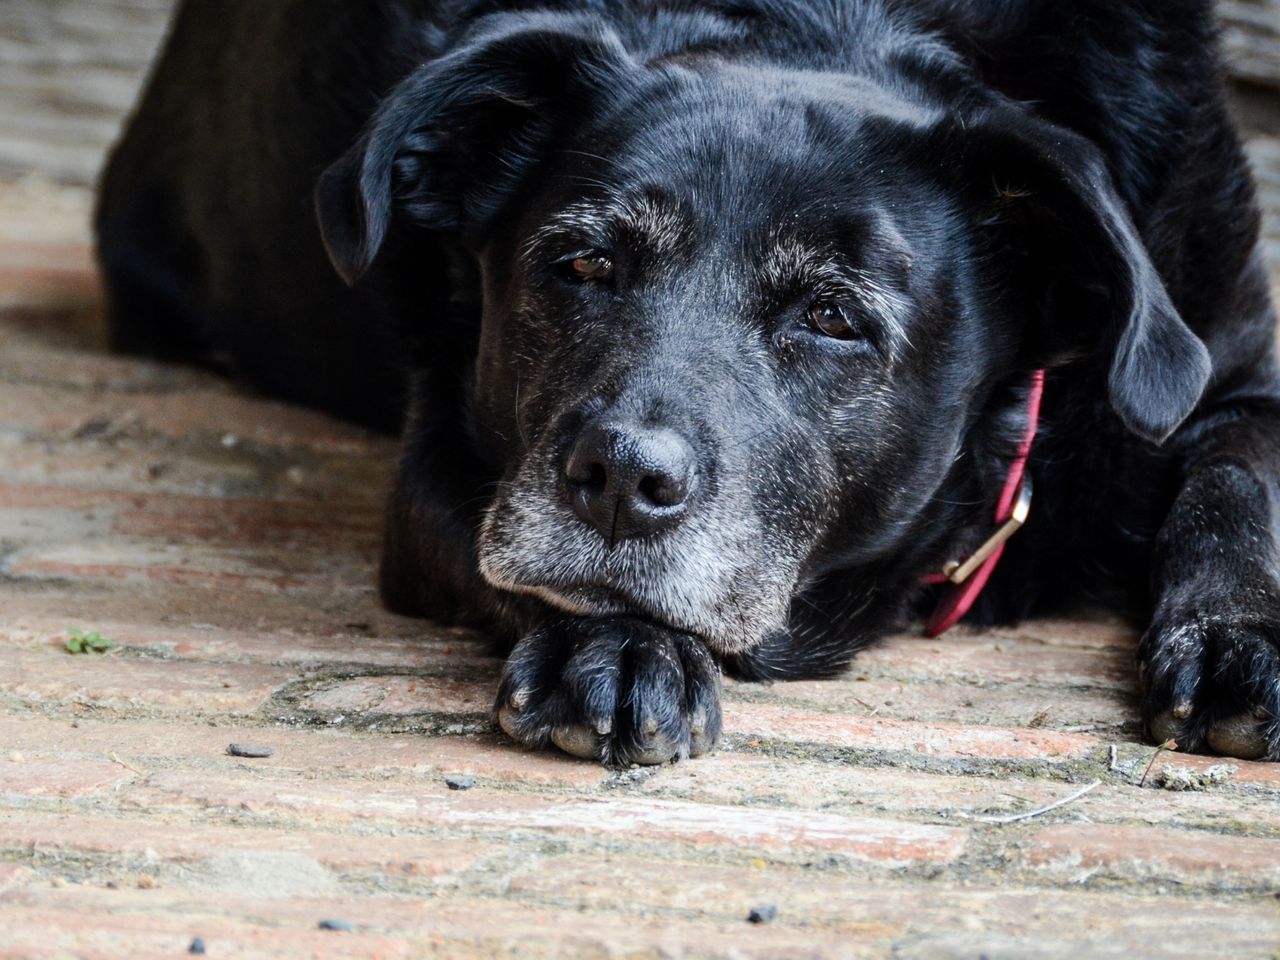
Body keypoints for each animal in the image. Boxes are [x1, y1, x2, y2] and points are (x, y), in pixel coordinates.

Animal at [97, 0, 1280, 768]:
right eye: (581, 263)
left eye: (834, 317)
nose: (620, 478)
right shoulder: (449, 461)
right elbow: (523, 564)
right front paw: (620, 645)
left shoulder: (1233, 367)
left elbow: (1240, 481)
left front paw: (1240, 640)